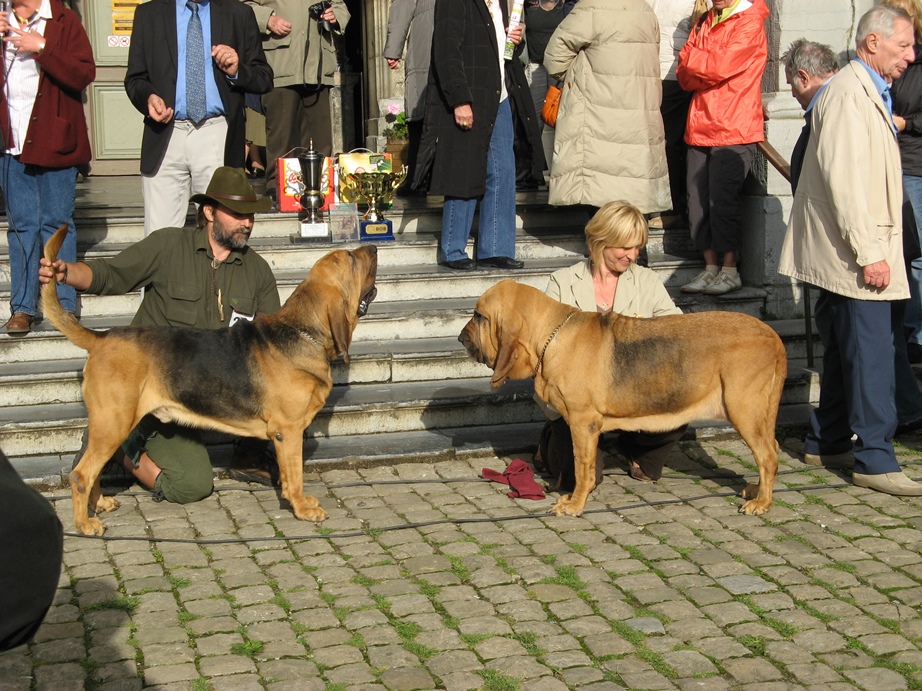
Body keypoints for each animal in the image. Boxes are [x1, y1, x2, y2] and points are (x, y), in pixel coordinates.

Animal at [39, 224, 378, 536]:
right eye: (350, 259)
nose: (374, 247)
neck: (303, 332)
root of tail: (101, 338)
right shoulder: (288, 432)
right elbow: (294, 475)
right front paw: (303, 508)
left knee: (92, 468)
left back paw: (100, 504)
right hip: (114, 422)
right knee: (81, 474)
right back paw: (85, 523)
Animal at [458, 280, 784, 512]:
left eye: (479, 316)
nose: (460, 338)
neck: (550, 335)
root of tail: (773, 335)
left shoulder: (583, 423)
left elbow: (582, 466)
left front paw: (574, 504)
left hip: (743, 410)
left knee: (767, 455)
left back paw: (761, 502)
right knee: (771, 449)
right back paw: (756, 491)